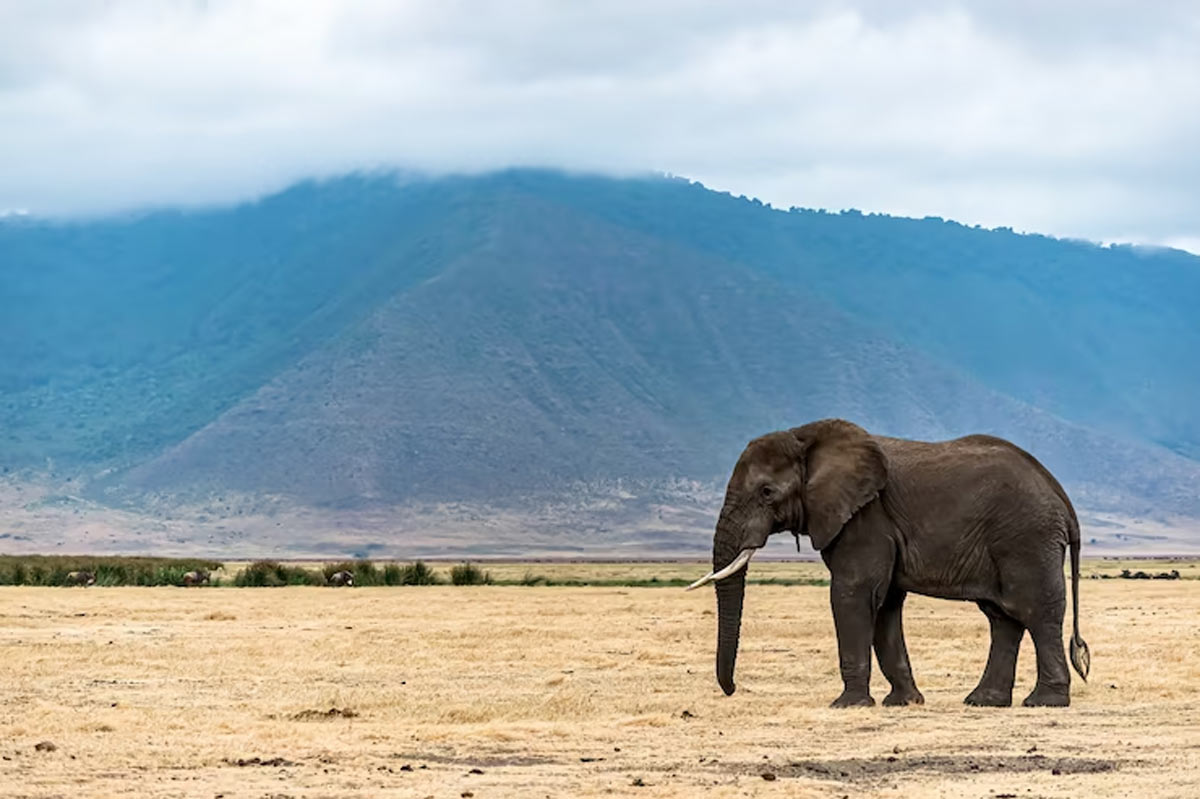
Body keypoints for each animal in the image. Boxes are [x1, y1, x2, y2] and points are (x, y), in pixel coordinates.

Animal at [688, 419, 1090, 708]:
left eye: (767, 492)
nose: (732, 689)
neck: (807, 436)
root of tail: (1062, 498)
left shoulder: (866, 519)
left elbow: (853, 594)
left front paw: (847, 705)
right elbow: (885, 605)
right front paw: (904, 702)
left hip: (1027, 539)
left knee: (1035, 610)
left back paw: (1044, 702)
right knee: (1003, 618)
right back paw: (983, 702)